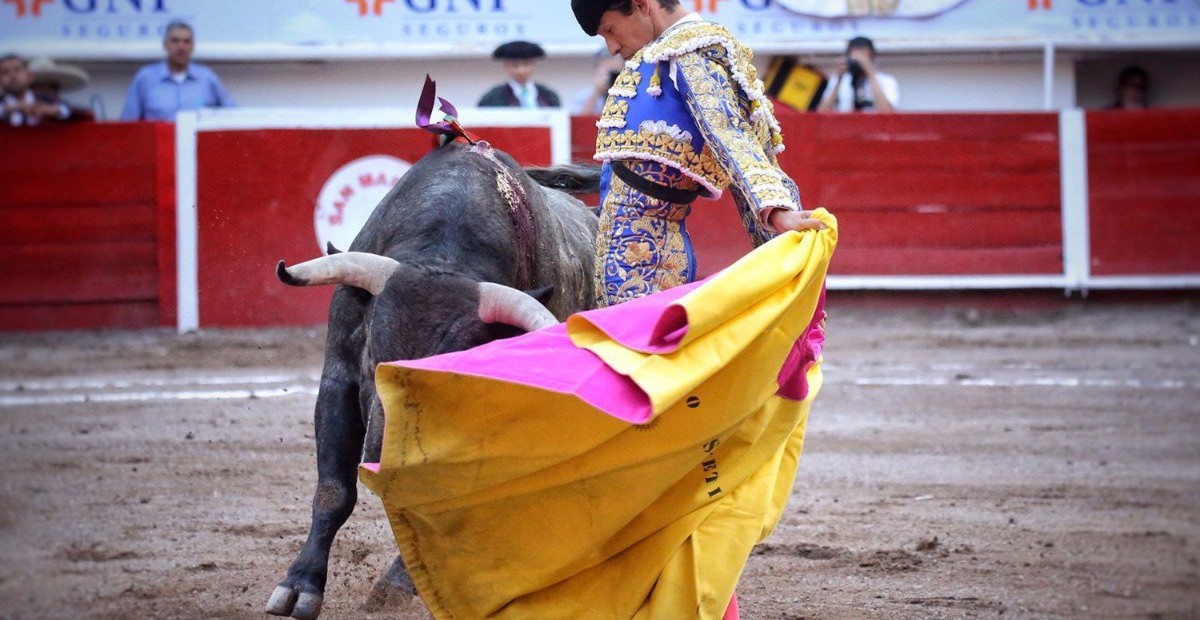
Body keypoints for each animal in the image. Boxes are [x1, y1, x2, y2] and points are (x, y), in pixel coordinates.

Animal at [264, 141, 600, 618]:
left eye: (447, 374)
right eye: (371, 355)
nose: (385, 454)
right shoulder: (338, 379)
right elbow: (333, 491)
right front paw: (299, 586)